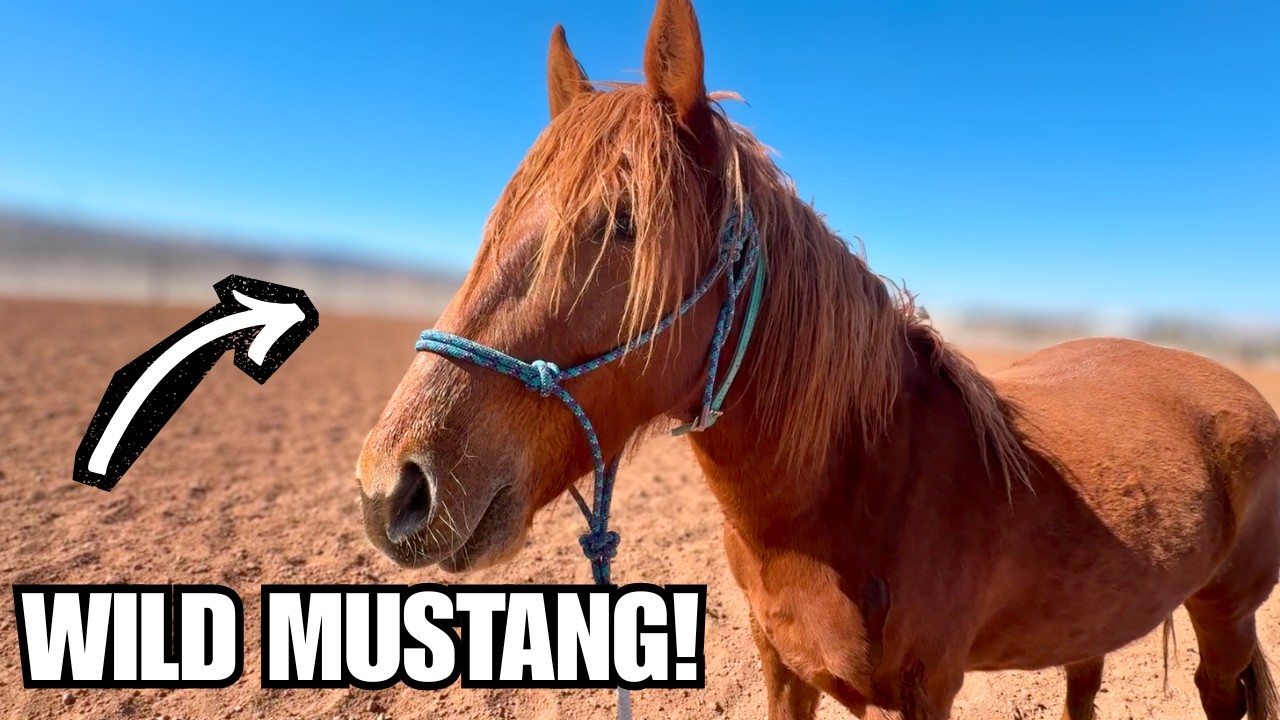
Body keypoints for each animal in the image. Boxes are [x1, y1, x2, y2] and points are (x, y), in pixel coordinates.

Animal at [355, 1, 1280, 717]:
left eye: (621, 223)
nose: (392, 486)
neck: (859, 483)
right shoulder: (783, 670)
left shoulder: (923, 691)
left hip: (1226, 616)